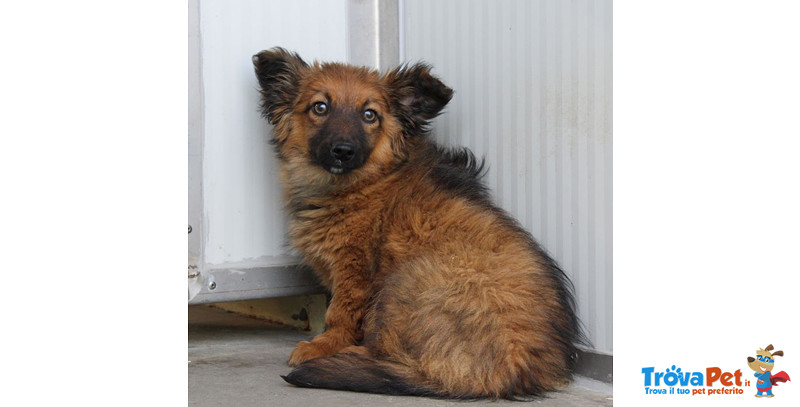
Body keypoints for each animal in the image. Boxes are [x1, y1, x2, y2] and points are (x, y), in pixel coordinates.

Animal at [250, 47, 580, 398]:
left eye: (370, 115)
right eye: (320, 107)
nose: (343, 151)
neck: (365, 183)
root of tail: (509, 373)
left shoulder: (354, 269)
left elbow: (340, 313)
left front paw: (324, 345)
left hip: (404, 280)